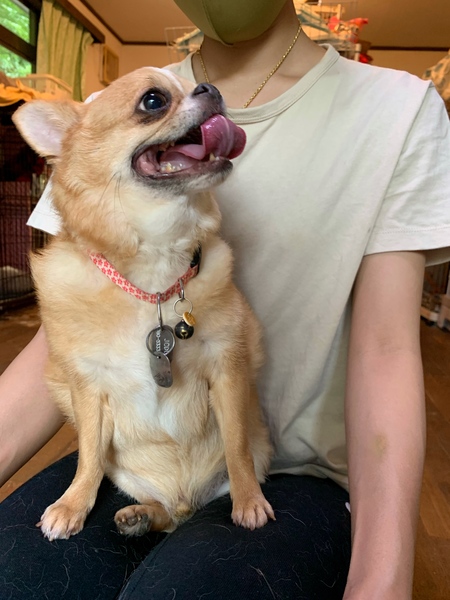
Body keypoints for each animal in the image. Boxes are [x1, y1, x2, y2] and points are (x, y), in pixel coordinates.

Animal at [13, 67, 275, 540]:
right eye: (153, 101)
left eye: (194, 84)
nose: (211, 89)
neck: (152, 281)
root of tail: (185, 501)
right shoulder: (87, 388)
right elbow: (89, 456)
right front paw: (73, 504)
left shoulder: (228, 371)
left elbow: (237, 446)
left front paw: (249, 500)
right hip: (129, 475)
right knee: (155, 506)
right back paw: (138, 515)